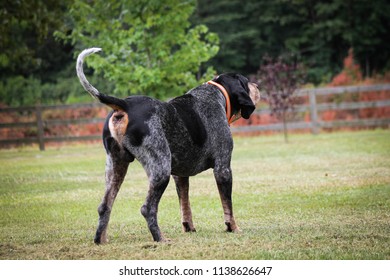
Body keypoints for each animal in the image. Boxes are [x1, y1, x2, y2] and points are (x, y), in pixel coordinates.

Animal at [76, 47, 260, 242]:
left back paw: (100, 240)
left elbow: (185, 206)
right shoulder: (223, 168)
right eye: (246, 82)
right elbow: (228, 206)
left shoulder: (180, 175)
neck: (216, 94)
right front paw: (233, 228)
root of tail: (124, 104)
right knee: (147, 208)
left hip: (116, 167)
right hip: (160, 169)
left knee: (104, 206)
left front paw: (189, 228)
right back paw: (160, 239)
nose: (257, 86)